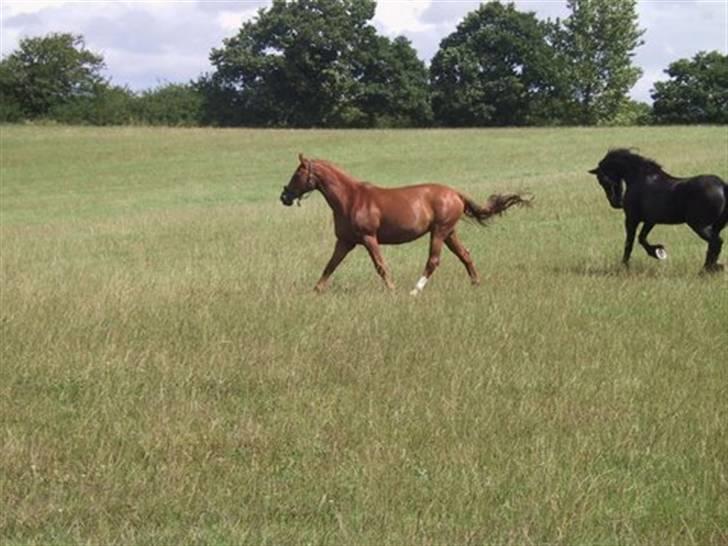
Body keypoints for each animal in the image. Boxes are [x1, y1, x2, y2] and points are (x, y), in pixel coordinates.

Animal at [278, 155, 528, 294]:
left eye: (297, 174)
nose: (285, 197)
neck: (350, 199)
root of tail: (456, 194)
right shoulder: (345, 241)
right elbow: (330, 266)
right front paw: (315, 291)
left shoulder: (369, 238)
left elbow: (380, 266)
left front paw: (392, 290)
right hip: (450, 233)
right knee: (465, 255)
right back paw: (476, 284)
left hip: (439, 232)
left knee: (433, 261)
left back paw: (415, 291)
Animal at [588, 148, 724, 270]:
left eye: (602, 180)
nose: (615, 203)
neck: (640, 179)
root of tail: (723, 186)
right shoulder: (650, 220)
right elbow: (641, 238)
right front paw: (657, 252)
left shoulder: (631, 219)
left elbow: (629, 243)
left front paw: (625, 265)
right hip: (714, 227)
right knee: (714, 245)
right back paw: (712, 268)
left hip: (699, 226)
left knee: (716, 243)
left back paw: (706, 270)